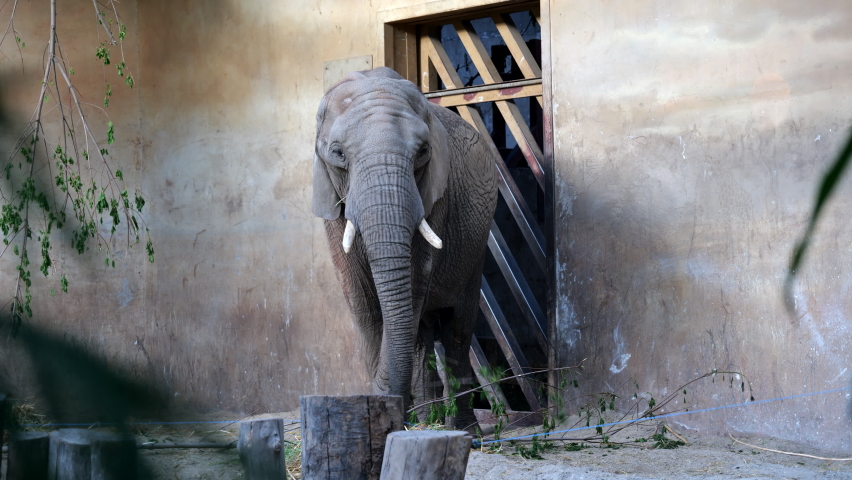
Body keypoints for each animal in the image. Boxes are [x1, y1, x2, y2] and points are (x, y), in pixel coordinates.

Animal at [312, 67, 498, 432]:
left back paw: (462, 430)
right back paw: (427, 422)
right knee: (423, 335)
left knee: (456, 333)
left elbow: (410, 286)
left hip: (475, 253)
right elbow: (363, 302)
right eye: (338, 153)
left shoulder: (434, 197)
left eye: (423, 151)